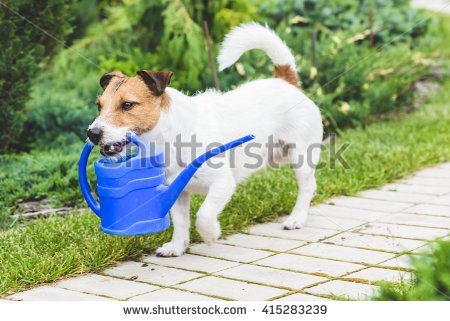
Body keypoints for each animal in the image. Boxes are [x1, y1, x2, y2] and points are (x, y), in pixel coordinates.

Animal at [87, 23, 324, 255]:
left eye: (127, 105)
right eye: (99, 106)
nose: (92, 133)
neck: (173, 134)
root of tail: (286, 82)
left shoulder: (222, 183)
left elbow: (204, 214)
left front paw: (210, 234)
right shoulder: (176, 191)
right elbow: (181, 221)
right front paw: (177, 246)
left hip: (301, 156)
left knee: (307, 186)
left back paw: (297, 218)